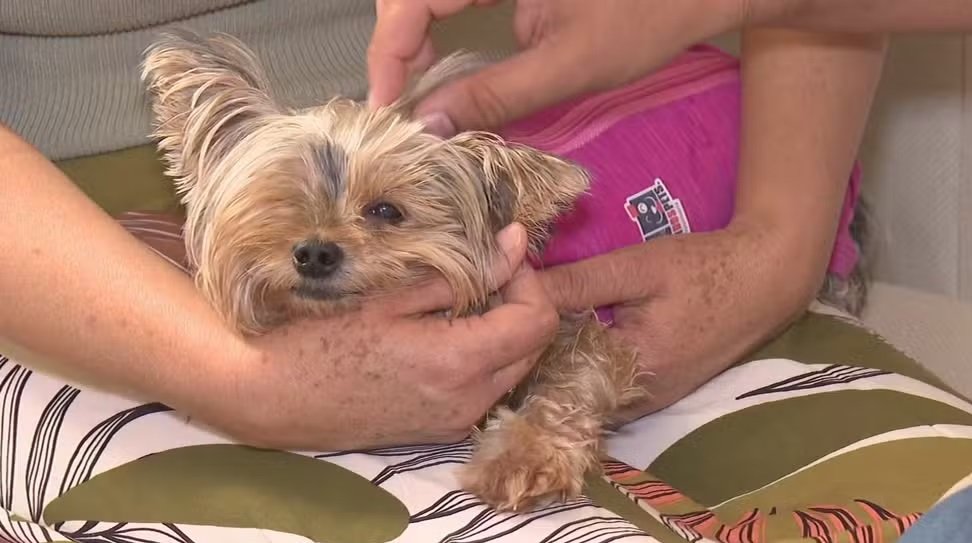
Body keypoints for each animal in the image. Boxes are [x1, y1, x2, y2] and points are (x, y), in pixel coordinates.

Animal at [141, 31, 644, 512]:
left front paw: (523, 458)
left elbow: (580, 375)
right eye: (284, 201)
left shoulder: (573, 330)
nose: (315, 253)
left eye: (386, 210)